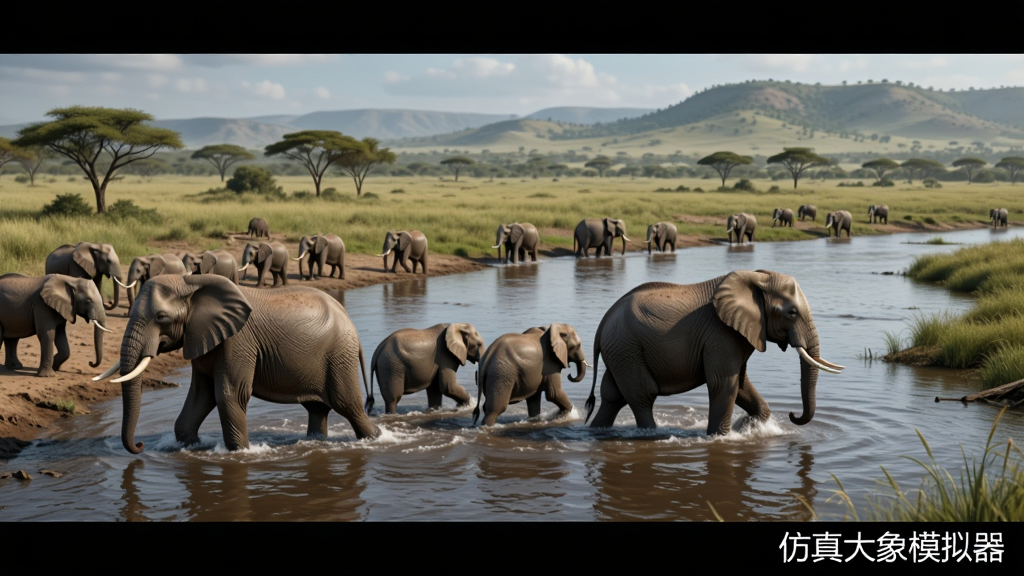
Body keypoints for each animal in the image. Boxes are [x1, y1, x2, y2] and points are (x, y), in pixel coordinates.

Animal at [93, 274, 380, 453]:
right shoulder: (203, 337)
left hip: (339, 355)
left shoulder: (238, 340)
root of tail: (349, 322)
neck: (191, 283)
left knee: (347, 405)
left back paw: (377, 438)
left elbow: (229, 394)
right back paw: (317, 442)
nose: (140, 446)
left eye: (161, 317)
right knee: (317, 408)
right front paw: (192, 447)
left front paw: (240, 453)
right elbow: (201, 395)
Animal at [584, 270, 844, 435]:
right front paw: (721, 438)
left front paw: (747, 428)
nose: (792, 414)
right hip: (626, 348)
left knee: (613, 397)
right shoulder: (721, 335)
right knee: (642, 396)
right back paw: (652, 434)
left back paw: (596, 431)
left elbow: (741, 385)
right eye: (791, 313)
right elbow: (725, 385)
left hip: (621, 351)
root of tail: (602, 324)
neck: (758, 277)